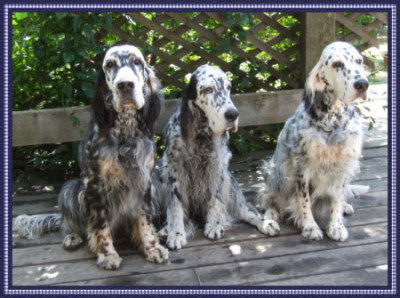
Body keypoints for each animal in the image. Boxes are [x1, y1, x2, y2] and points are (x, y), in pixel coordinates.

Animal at [13, 44, 167, 270]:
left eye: (137, 62)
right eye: (110, 64)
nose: (125, 85)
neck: (125, 134)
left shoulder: (145, 182)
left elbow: (144, 221)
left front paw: (151, 247)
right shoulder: (95, 185)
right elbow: (100, 226)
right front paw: (107, 254)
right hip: (70, 189)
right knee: (67, 223)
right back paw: (72, 237)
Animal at [155, 66, 278, 251]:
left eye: (229, 87)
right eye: (207, 89)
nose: (233, 114)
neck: (201, 133)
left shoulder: (218, 165)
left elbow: (215, 198)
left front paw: (214, 225)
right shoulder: (173, 167)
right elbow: (176, 206)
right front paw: (175, 233)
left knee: (246, 210)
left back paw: (265, 223)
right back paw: (166, 230)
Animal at [260, 41, 368, 242]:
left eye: (359, 61)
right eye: (337, 64)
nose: (362, 84)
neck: (334, 120)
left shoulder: (343, 165)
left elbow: (337, 197)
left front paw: (336, 225)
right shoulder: (302, 167)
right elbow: (304, 201)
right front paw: (310, 227)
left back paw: (346, 207)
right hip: (275, 171)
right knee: (271, 199)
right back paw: (271, 214)